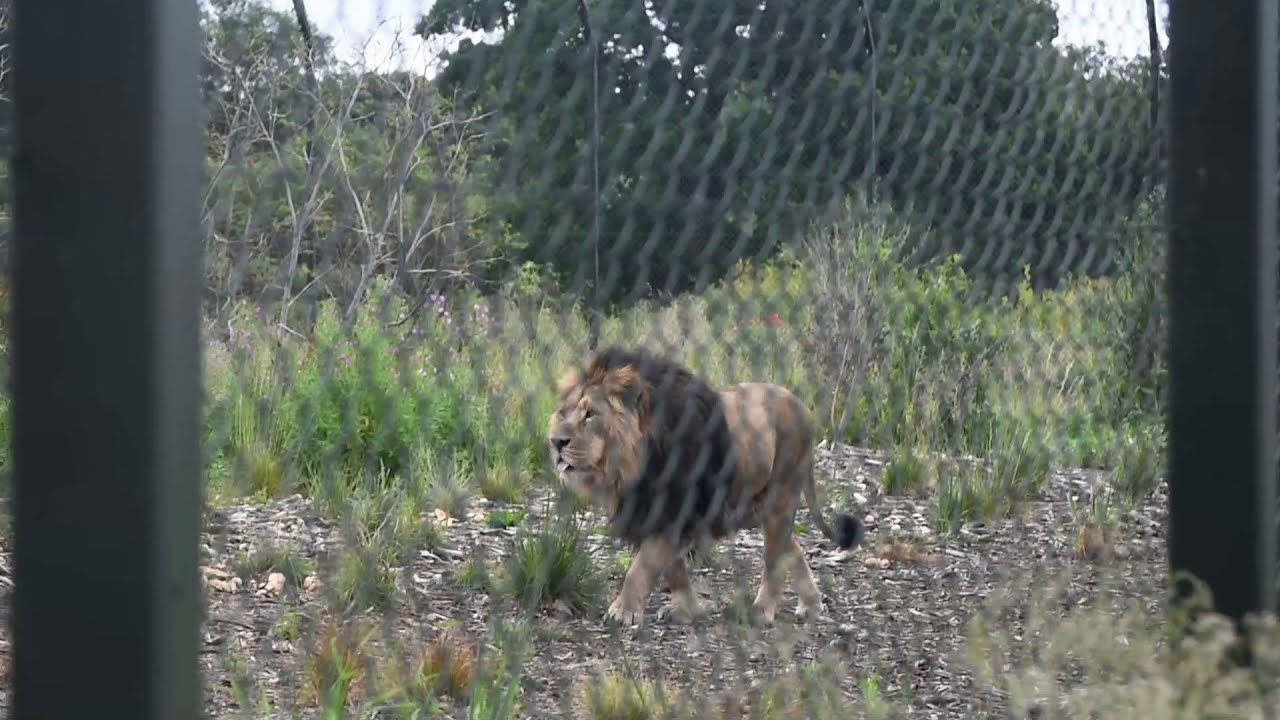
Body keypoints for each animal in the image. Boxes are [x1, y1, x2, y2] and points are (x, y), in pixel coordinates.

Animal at [546, 345, 865, 626]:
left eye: (590, 414)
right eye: (564, 412)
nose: (556, 442)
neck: (631, 464)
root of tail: (804, 410)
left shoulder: (672, 511)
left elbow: (642, 567)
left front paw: (623, 611)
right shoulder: (651, 514)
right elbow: (673, 571)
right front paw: (687, 610)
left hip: (780, 498)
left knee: (774, 559)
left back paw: (762, 611)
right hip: (752, 505)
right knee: (793, 547)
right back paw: (812, 605)